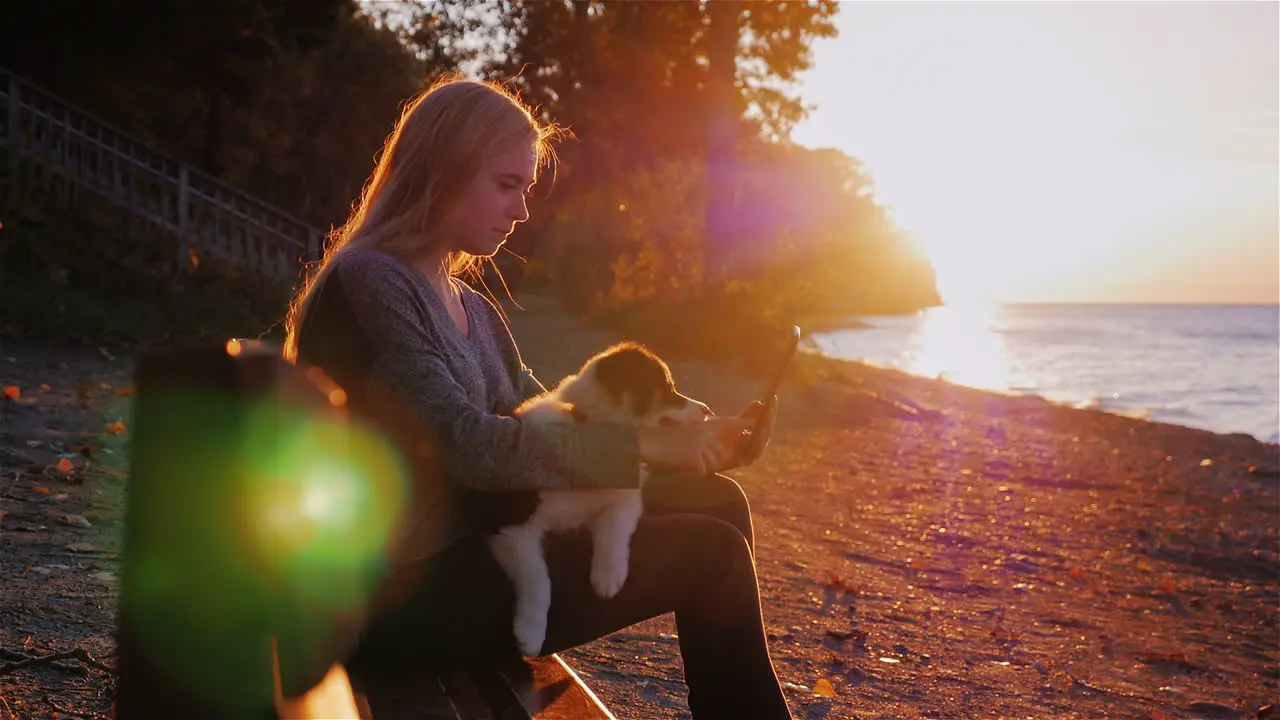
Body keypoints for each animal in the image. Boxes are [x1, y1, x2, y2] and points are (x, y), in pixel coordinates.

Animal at [481, 340, 711, 655]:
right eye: (668, 389)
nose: (707, 410)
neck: (591, 433)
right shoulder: (512, 524)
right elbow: (537, 577)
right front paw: (530, 633)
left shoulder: (625, 499)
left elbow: (613, 532)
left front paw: (608, 577)